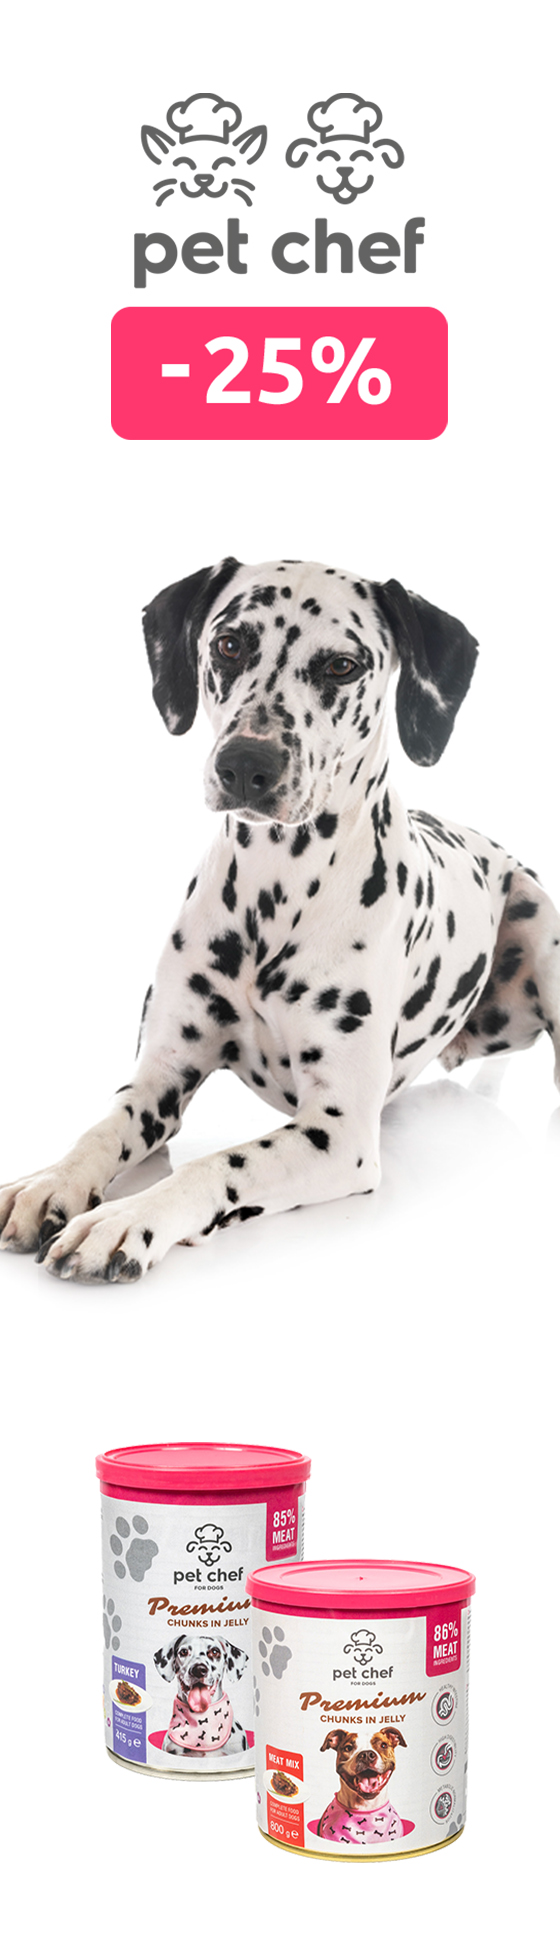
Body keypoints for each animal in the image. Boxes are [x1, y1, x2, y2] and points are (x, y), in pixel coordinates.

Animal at [2, 556, 559, 1284]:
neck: (276, 891)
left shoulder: (340, 1134)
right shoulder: (158, 1077)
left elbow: (216, 1165)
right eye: (229, 643)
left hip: (541, 924)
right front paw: (49, 1181)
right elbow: (100, 1130)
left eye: (343, 666)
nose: (245, 764)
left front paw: (126, 1218)